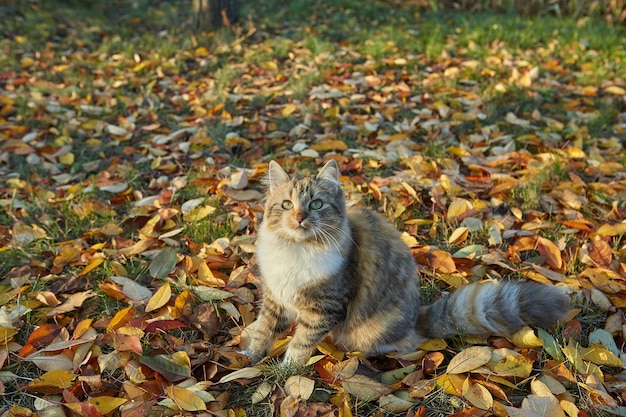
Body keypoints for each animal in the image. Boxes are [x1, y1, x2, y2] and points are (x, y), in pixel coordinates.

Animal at [240, 159, 572, 364]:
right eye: (287, 205)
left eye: (316, 204)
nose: (299, 217)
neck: (296, 250)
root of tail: (417, 317)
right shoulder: (275, 297)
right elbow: (264, 331)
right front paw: (251, 358)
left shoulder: (324, 307)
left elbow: (300, 343)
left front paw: (287, 371)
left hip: (374, 331)